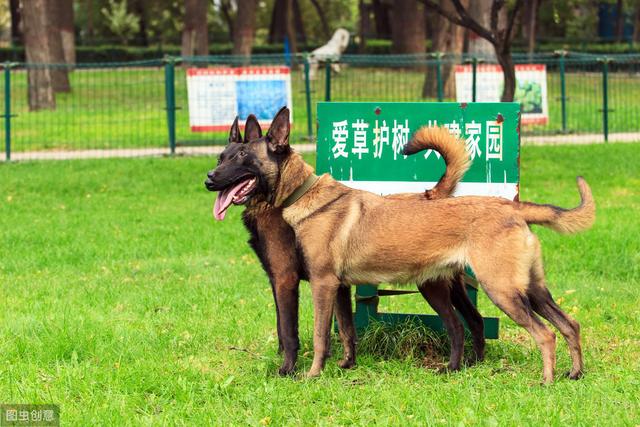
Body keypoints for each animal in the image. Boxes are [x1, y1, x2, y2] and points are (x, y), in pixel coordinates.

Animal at [208, 113, 488, 374]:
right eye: (221, 158)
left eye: (242, 156)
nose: (208, 179)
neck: (297, 195)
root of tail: (434, 195)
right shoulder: (334, 286)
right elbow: (344, 329)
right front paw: (346, 363)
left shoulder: (293, 280)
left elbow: (294, 331)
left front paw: (290, 370)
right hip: (449, 284)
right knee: (475, 320)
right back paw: (474, 363)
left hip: (432, 285)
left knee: (458, 325)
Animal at [256, 108, 596, 384]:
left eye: (244, 154)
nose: (224, 178)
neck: (306, 194)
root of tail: (513, 209)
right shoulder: (338, 287)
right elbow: (345, 330)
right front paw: (344, 365)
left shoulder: (322, 285)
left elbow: (319, 336)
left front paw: (312, 374)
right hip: (528, 289)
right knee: (569, 325)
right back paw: (574, 373)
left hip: (502, 291)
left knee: (545, 334)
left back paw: (546, 380)